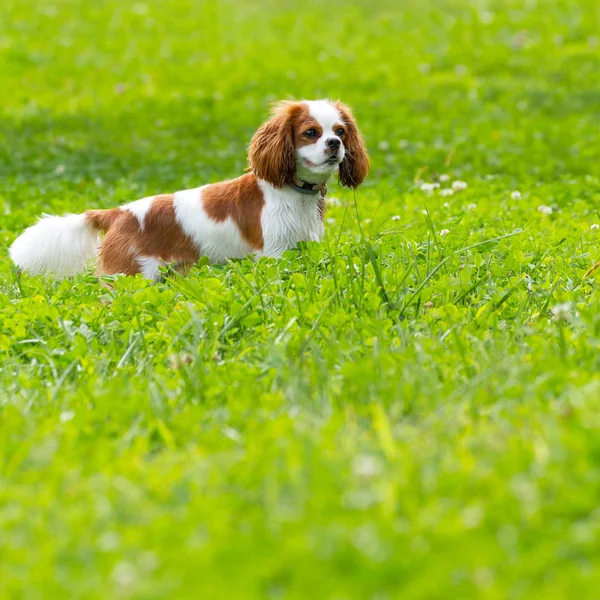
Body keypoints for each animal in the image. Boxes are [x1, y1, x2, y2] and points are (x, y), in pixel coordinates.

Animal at [9, 99, 368, 280]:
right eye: (311, 132)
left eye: (340, 131)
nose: (334, 144)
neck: (293, 192)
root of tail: (119, 213)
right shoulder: (275, 253)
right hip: (129, 277)